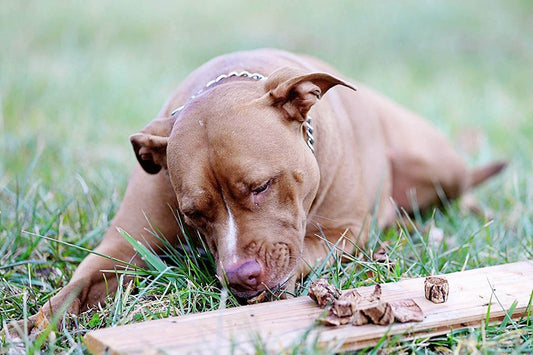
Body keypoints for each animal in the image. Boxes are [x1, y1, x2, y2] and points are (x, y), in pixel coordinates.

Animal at [19, 48, 502, 332]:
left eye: (262, 185)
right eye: (193, 213)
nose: (240, 277)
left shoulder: (343, 231)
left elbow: (301, 256)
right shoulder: (120, 247)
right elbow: (76, 286)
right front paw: (34, 327)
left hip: (436, 166)